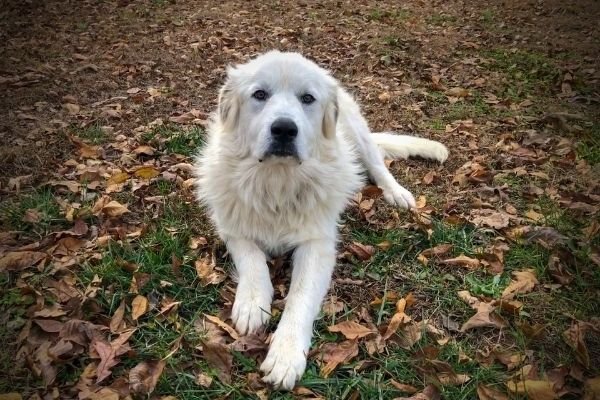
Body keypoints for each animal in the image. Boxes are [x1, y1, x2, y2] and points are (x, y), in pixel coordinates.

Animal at [195, 50, 448, 390]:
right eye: (259, 94)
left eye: (307, 98)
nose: (284, 129)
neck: (277, 181)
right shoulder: (232, 226)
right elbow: (252, 259)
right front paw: (251, 302)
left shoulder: (316, 245)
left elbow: (300, 298)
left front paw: (286, 354)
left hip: (358, 134)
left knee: (378, 166)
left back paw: (397, 193)